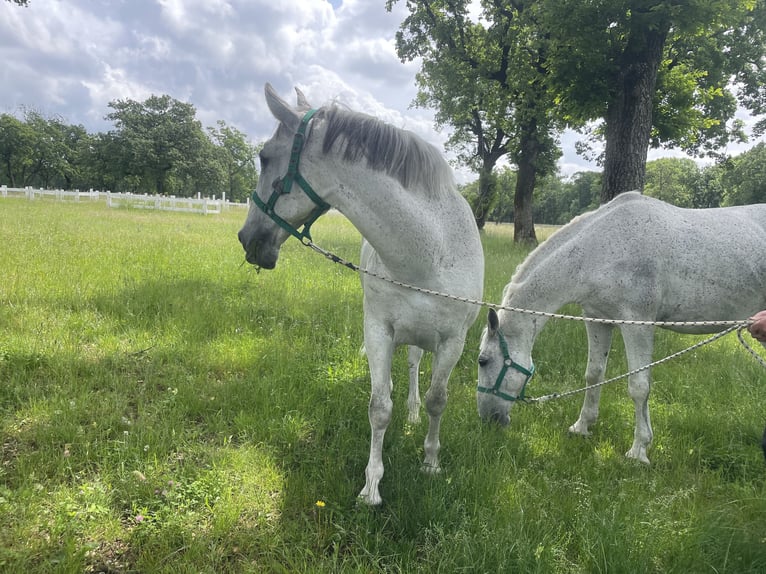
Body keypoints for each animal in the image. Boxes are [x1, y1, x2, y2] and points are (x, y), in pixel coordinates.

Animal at [238, 83, 486, 506]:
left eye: (265, 156)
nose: (246, 238)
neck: (429, 255)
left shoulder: (454, 341)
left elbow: (438, 400)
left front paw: (431, 462)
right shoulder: (379, 331)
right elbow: (379, 407)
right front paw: (371, 486)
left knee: (416, 369)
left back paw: (414, 414)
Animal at [480, 192, 766, 464]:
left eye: (483, 361)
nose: (488, 419)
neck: (599, 249)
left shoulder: (637, 324)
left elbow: (639, 387)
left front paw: (639, 450)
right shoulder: (597, 319)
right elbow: (594, 374)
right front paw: (582, 427)